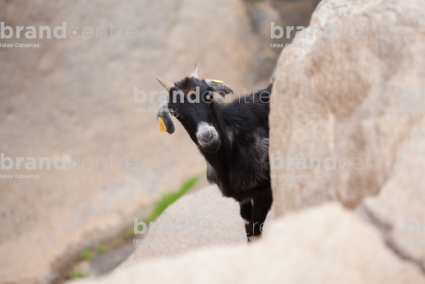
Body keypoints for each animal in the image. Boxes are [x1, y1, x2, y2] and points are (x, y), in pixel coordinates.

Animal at [156, 63, 272, 237]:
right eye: (175, 113)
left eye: (210, 96)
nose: (208, 138)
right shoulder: (243, 198)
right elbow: (248, 228)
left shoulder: (264, 191)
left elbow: (254, 231)